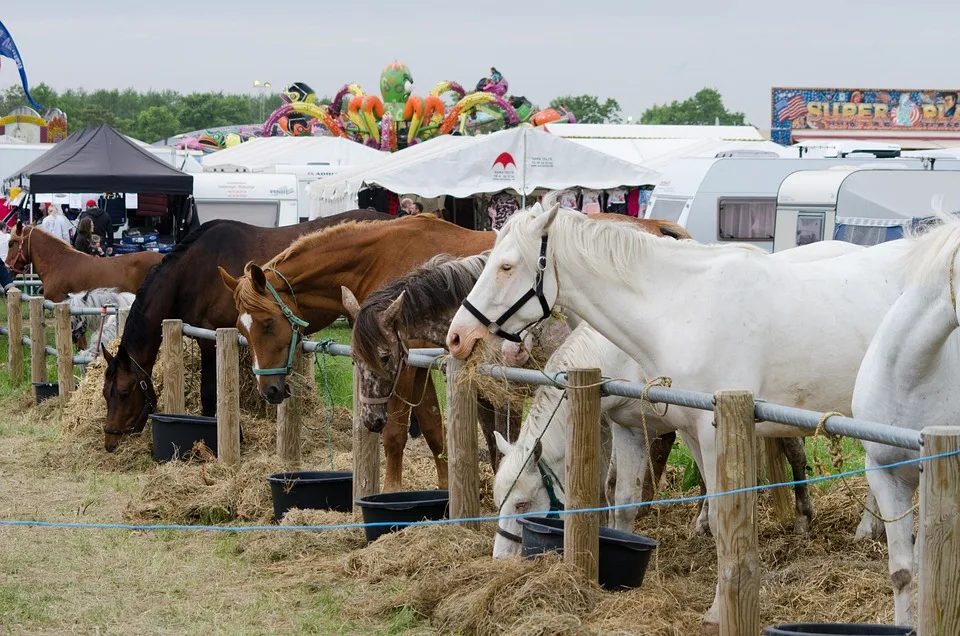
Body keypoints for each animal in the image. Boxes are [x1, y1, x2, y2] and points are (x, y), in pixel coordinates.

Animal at [99, 211, 392, 450]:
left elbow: (211, 394)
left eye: (123, 393)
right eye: (105, 393)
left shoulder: (212, 339)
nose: (110, 440)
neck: (193, 271)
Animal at [220, 216, 496, 490]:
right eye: (241, 329)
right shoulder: (418, 368)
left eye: (268, 324)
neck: (380, 260)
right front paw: (444, 489)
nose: (268, 390)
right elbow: (433, 431)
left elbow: (395, 435)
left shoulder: (403, 369)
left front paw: (391, 490)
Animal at [446, 202, 912, 628]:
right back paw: (869, 528)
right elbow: (626, 497)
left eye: (506, 266)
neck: (681, 309)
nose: (457, 336)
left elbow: (724, 517)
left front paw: (718, 610)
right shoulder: (642, 427)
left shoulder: (711, 430)